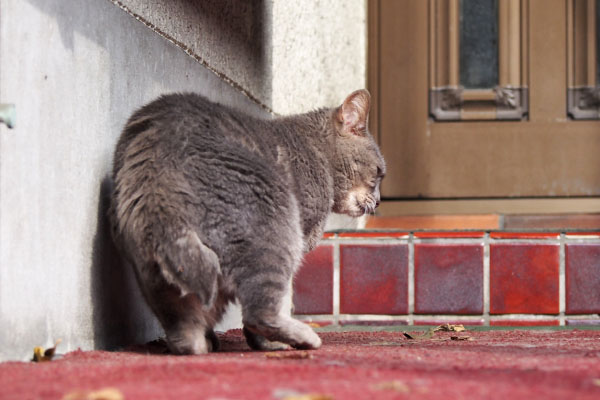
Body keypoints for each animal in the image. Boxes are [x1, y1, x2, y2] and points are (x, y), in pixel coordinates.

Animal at [110, 89, 386, 354]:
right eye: (378, 173)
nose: (379, 201)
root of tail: (159, 164)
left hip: (153, 271)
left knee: (186, 332)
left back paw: (201, 342)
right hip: (279, 231)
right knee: (259, 312)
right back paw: (299, 339)